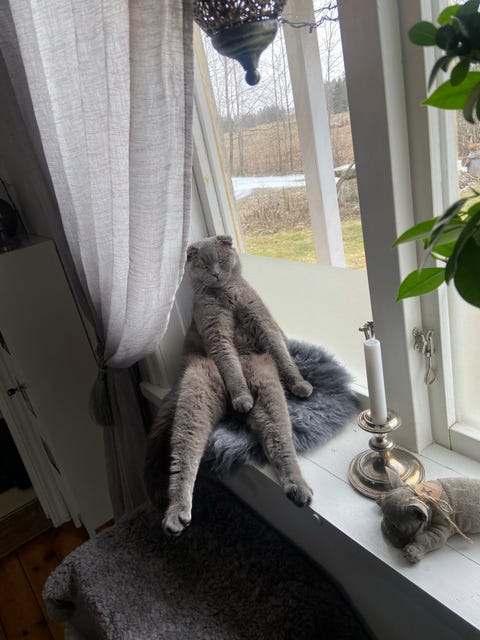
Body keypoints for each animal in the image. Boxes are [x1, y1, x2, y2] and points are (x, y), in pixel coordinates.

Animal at [161, 234, 314, 536]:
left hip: (266, 386)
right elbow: (230, 365)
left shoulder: (260, 318)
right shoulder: (215, 333)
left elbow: (280, 351)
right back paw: (176, 515)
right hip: (197, 391)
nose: (215, 273)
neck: (224, 293)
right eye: (203, 263)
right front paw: (242, 396)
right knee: (183, 456)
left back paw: (297, 488)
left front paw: (299, 384)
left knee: (279, 439)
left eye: (220, 260)